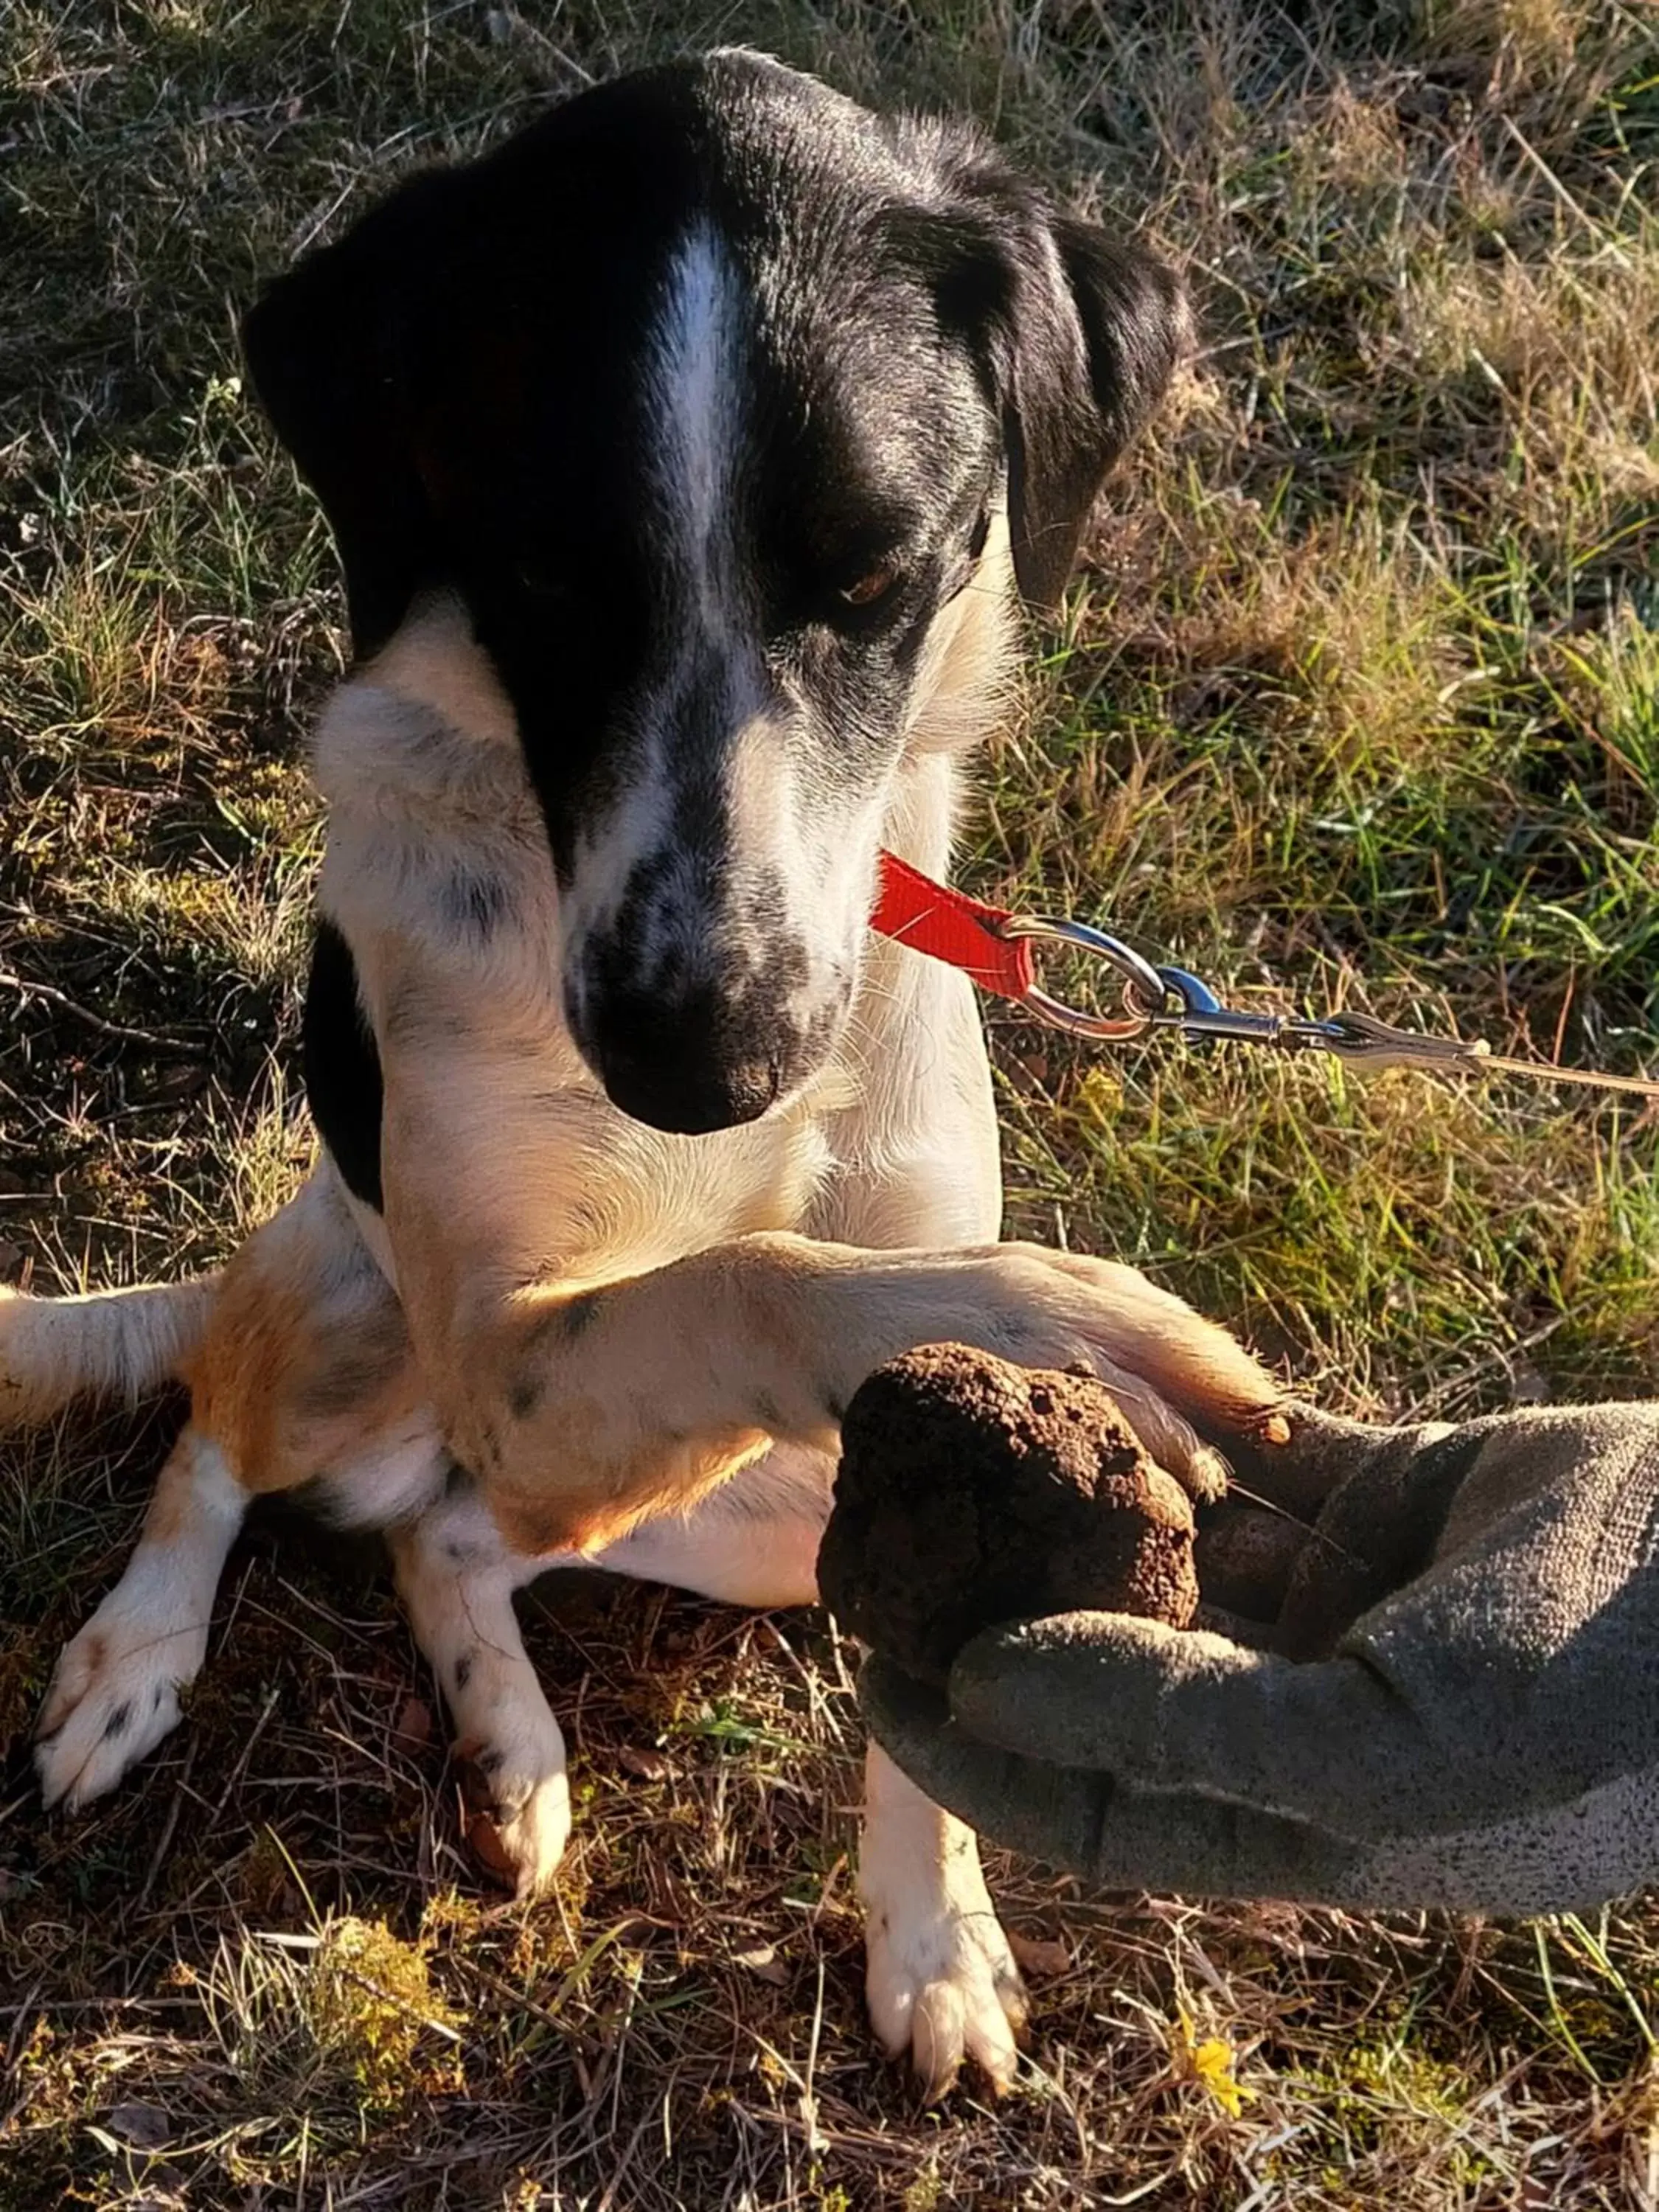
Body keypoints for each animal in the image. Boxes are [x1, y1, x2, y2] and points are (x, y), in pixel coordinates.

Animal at [0, 47, 1283, 2088]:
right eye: (538, 571)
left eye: (881, 576)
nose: (709, 1058)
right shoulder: (516, 1338)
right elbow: (754, 1269)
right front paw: (1055, 1320)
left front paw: (934, 1935)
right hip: (343, 1311)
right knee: (217, 1433)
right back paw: (136, 1662)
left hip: (753, 1515)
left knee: (454, 1531)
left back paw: (508, 1745)